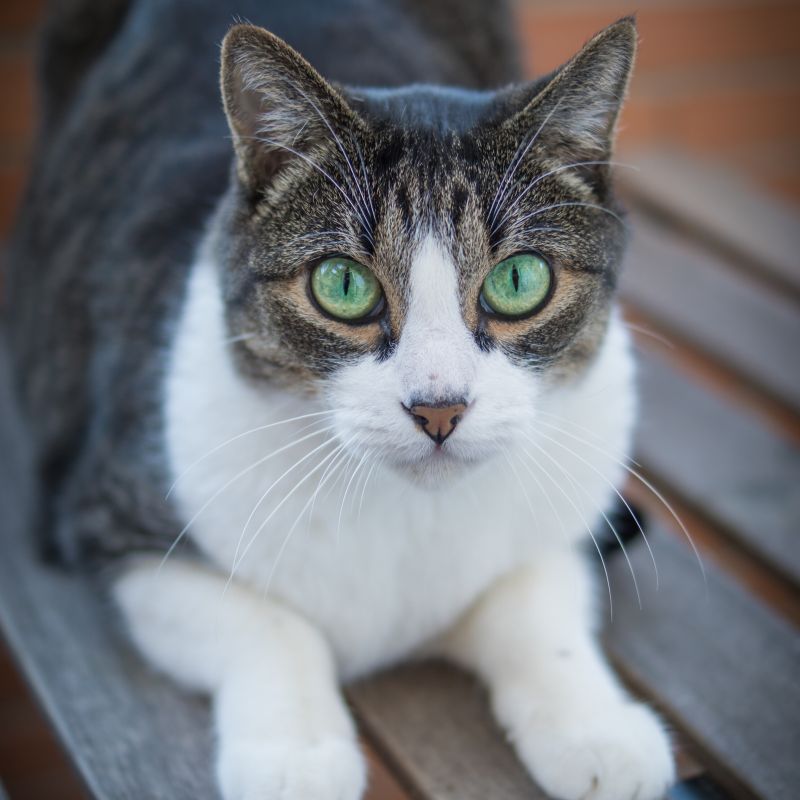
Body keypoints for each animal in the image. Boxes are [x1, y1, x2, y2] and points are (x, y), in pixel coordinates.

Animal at [6, 1, 676, 800]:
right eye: (344, 285)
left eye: (519, 280)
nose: (439, 407)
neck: (408, 515)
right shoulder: (112, 515)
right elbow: (269, 624)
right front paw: (295, 755)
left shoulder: (565, 505)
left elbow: (534, 601)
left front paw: (597, 728)